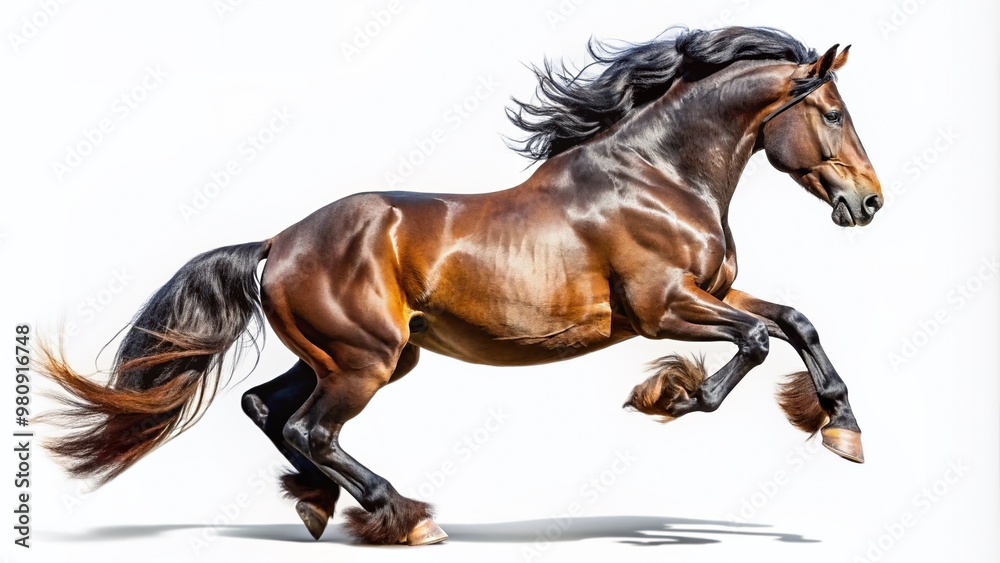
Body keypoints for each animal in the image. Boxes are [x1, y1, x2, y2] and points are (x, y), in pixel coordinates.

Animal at [38, 26, 883, 546]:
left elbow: (796, 321)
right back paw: (403, 515)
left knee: (267, 408)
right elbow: (758, 339)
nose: (869, 202)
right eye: (834, 114)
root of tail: (276, 243)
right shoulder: (662, 306)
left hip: (360, 355)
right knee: (311, 427)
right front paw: (670, 395)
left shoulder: (712, 290)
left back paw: (317, 502)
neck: (658, 177)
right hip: (364, 359)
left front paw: (841, 427)